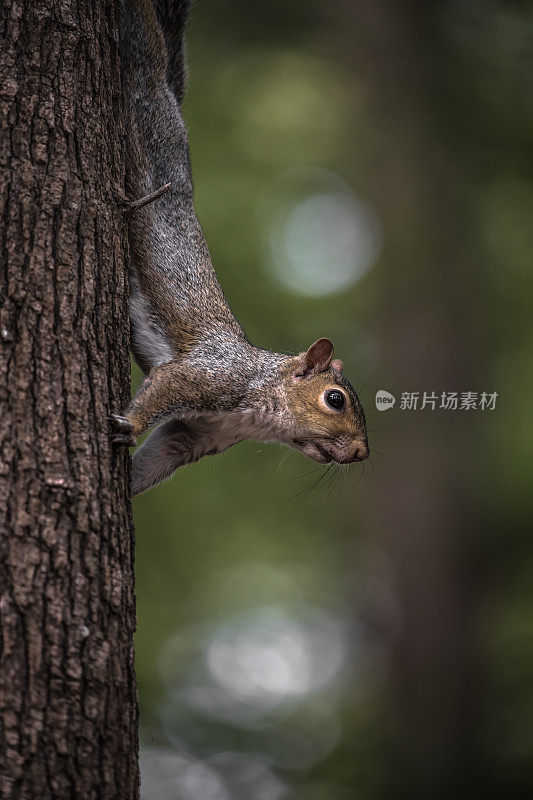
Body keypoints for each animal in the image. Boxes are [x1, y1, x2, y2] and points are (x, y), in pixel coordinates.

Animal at [111, 0, 370, 494]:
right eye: (335, 399)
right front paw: (129, 425)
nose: (363, 454)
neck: (258, 409)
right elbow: (167, 384)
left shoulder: (195, 434)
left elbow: (157, 458)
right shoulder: (209, 377)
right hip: (147, 106)